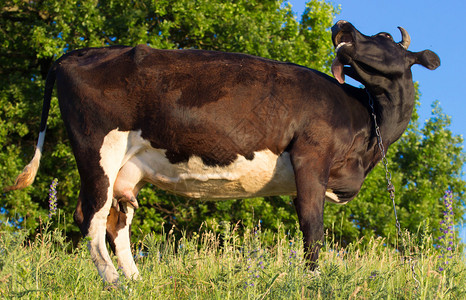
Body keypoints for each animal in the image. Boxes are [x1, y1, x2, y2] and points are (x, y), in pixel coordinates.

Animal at [5, 19, 438, 282]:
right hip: (98, 150)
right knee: (90, 217)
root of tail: (77, 52)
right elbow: (313, 228)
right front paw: (314, 280)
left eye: (385, 39)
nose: (341, 24)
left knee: (117, 221)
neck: (366, 125)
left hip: (129, 170)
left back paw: (136, 283)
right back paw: (114, 283)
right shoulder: (311, 156)